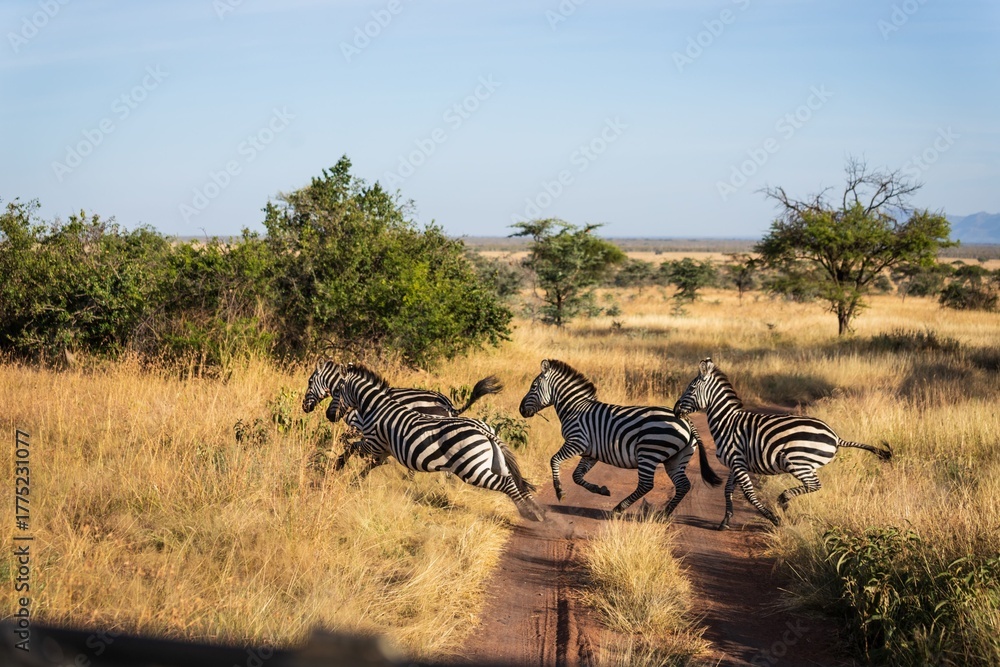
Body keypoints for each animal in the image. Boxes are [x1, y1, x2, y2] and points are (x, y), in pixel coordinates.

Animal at [304, 361, 545, 522]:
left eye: (336, 390)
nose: (328, 415)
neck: (374, 406)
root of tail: (483, 430)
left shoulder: (370, 440)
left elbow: (350, 447)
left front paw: (336, 467)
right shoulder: (383, 449)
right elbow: (371, 463)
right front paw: (354, 480)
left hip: (472, 469)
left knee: (505, 484)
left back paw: (529, 514)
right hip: (494, 460)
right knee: (514, 481)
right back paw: (535, 510)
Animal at [518, 359, 722, 516]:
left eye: (533, 386)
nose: (520, 410)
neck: (574, 408)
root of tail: (686, 420)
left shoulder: (577, 441)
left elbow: (554, 460)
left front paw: (560, 492)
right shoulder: (590, 453)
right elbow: (577, 476)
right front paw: (600, 489)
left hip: (649, 451)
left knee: (646, 484)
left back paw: (619, 508)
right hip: (676, 458)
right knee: (683, 485)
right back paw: (663, 515)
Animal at [673, 357, 892, 530]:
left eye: (691, 388)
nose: (675, 410)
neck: (726, 421)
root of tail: (835, 436)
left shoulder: (737, 461)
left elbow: (749, 494)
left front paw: (774, 518)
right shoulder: (737, 463)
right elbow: (728, 490)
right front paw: (725, 522)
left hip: (797, 462)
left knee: (814, 485)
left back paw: (784, 499)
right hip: (805, 464)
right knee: (812, 485)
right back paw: (785, 500)